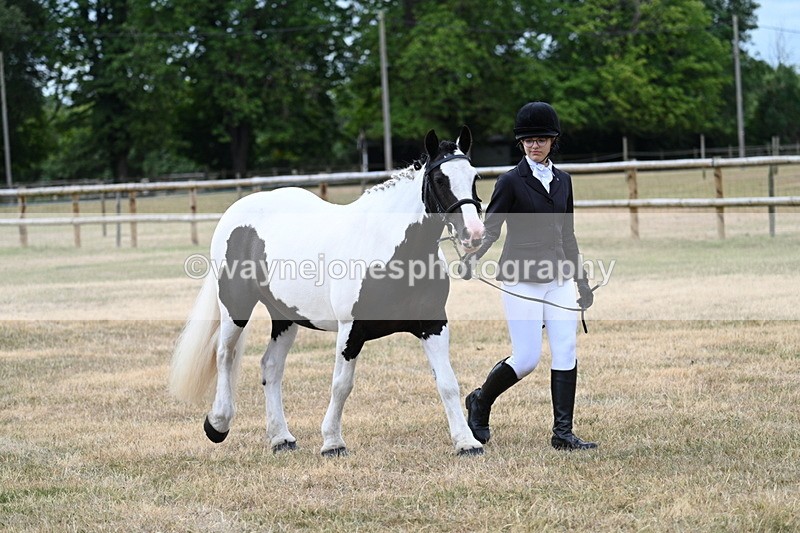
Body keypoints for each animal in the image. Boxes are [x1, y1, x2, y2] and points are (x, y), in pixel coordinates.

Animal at [169, 126, 486, 456]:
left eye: (474, 177)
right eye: (440, 180)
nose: (474, 234)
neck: (390, 249)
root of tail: (236, 212)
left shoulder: (433, 325)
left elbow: (447, 382)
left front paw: (466, 442)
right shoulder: (351, 330)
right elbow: (341, 385)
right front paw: (332, 442)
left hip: (284, 317)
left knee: (271, 366)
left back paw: (281, 437)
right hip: (235, 307)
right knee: (224, 355)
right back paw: (218, 423)